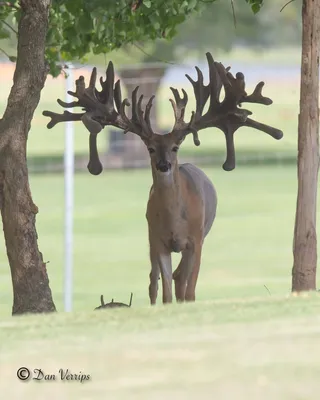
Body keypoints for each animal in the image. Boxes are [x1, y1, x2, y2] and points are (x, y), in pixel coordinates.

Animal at [42, 51, 282, 304]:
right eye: (150, 148)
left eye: (175, 147)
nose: (164, 165)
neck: (174, 219)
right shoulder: (158, 240)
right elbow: (165, 288)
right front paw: (168, 304)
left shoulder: (195, 239)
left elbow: (190, 288)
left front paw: (187, 301)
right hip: (151, 239)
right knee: (155, 279)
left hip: (201, 233)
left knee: (180, 277)